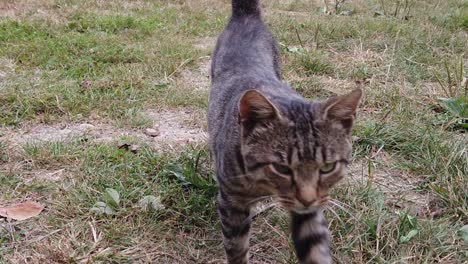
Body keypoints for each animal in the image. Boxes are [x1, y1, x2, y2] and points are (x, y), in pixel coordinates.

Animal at [207, 1, 362, 262]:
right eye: (281, 168)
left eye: (328, 167)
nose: (307, 199)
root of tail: (246, 15)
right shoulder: (232, 203)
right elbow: (237, 249)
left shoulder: (310, 210)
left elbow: (315, 247)